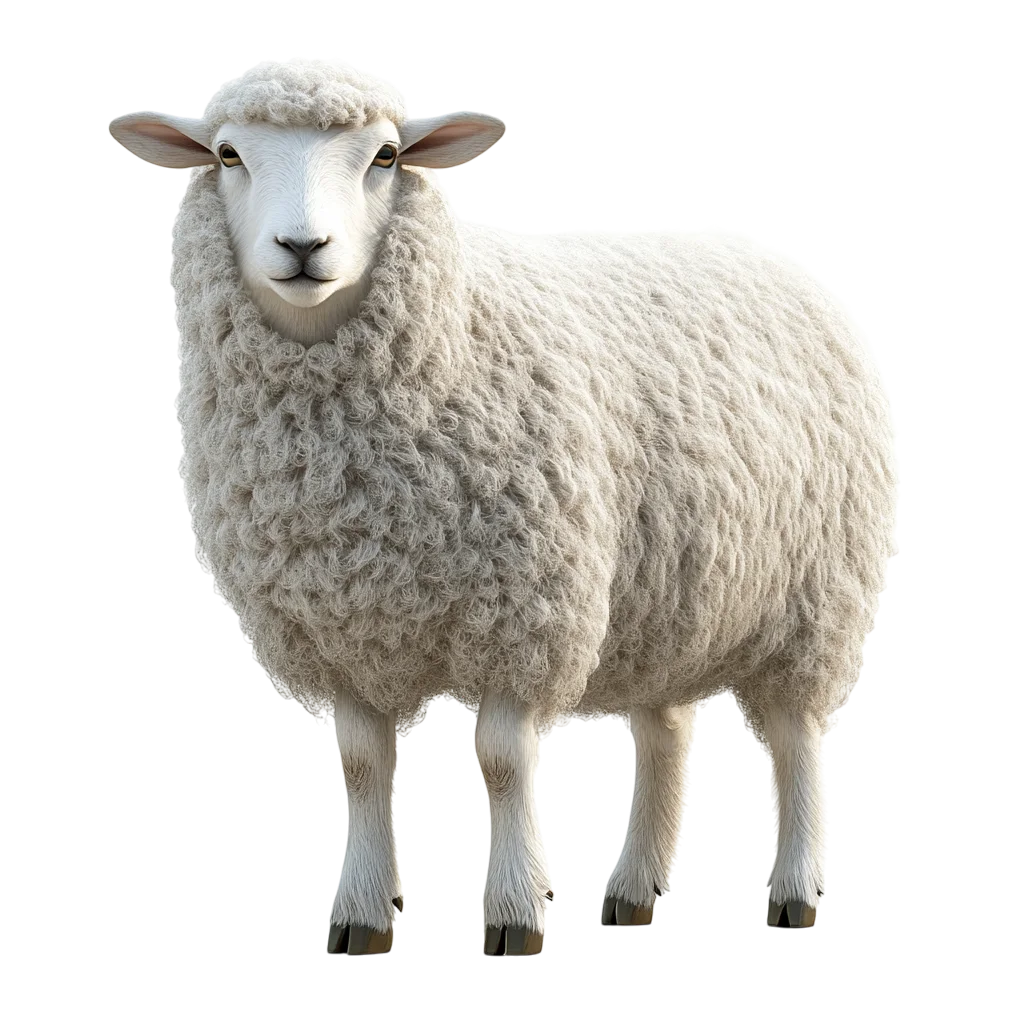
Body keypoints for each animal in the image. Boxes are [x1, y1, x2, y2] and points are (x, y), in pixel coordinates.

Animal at [110, 58, 899, 956]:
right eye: (229, 156)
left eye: (387, 157)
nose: (303, 249)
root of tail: (769, 250)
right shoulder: (337, 624)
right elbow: (363, 766)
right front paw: (361, 913)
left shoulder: (526, 612)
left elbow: (501, 763)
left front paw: (517, 912)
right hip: (669, 596)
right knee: (666, 730)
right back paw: (635, 888)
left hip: (817, 598)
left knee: (799, 739)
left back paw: (796, 892)